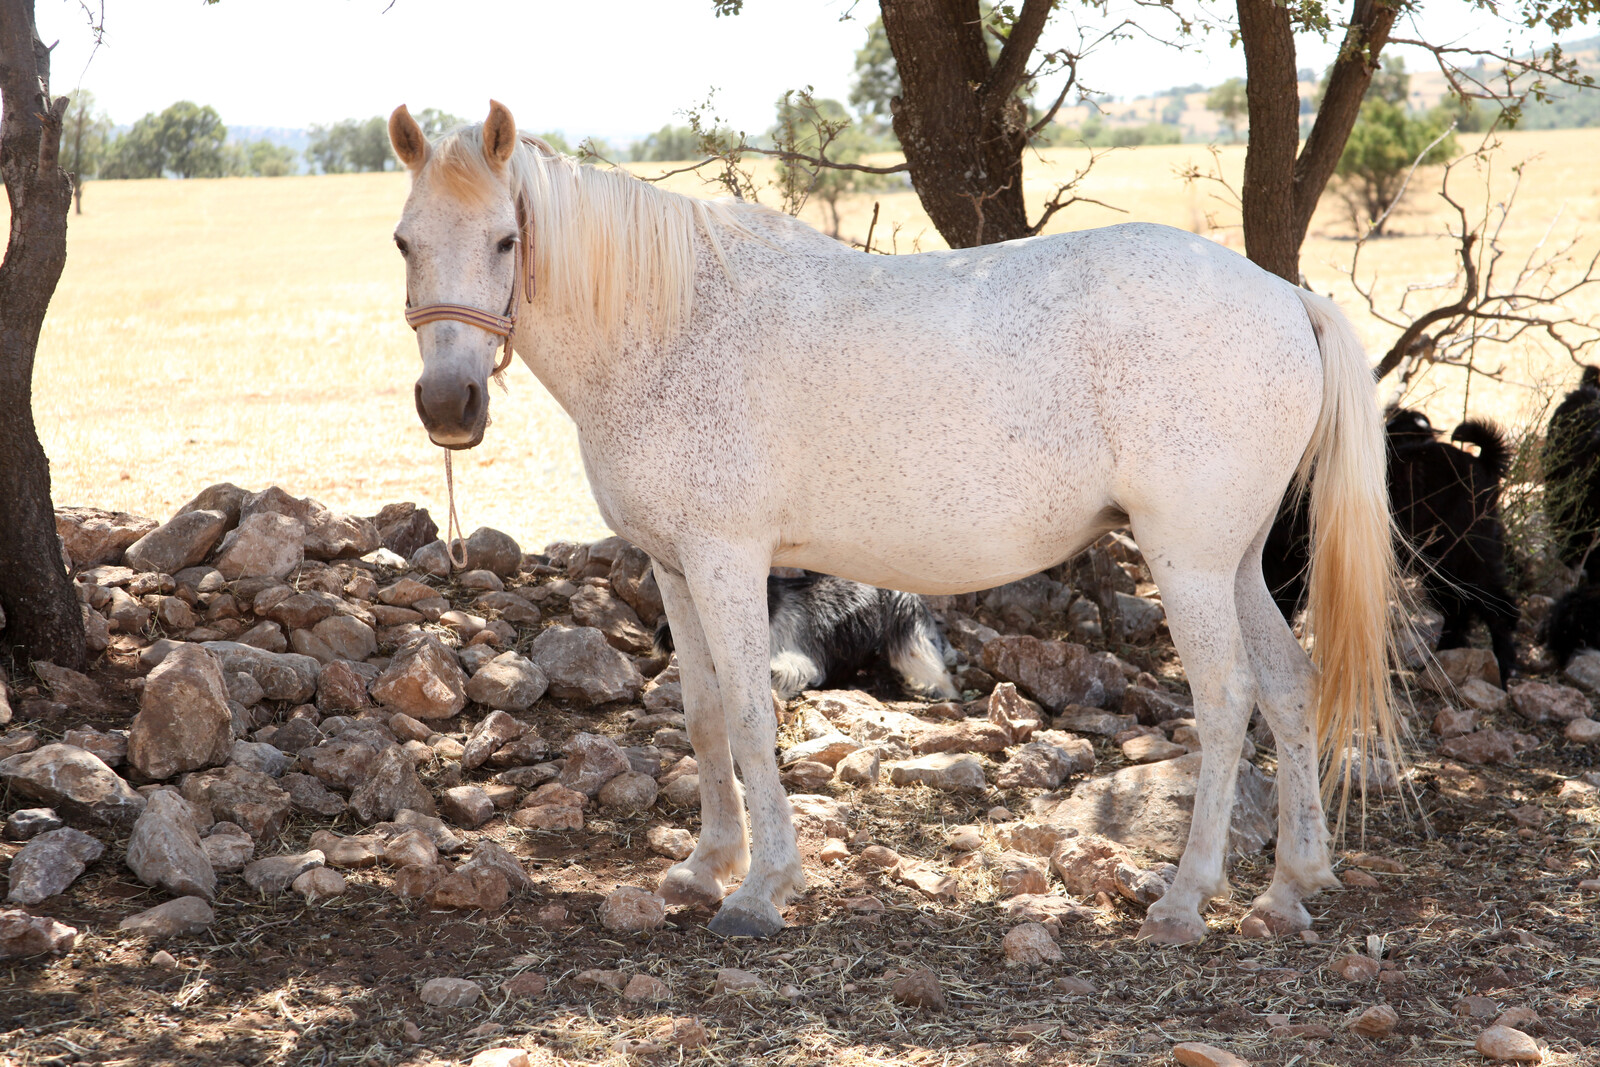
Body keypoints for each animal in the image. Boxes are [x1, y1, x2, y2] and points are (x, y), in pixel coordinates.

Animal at [1260, 409, 1510, 684]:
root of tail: (1483, 463)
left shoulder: (1289, 567)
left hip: (1467, 555)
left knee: (1499, 608)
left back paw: (1506, 672)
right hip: (1440, 565)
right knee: (1458, 609)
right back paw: (1445, 659)